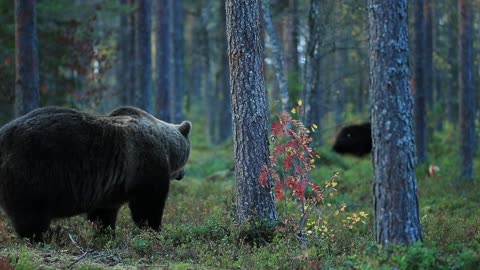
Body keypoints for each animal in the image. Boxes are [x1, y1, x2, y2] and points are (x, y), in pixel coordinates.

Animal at [0, 105, 191, 240]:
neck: (166, 147)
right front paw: (155, 230)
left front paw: (106, 234)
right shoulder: (144, 162)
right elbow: (148, 204)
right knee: (31, 213)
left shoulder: (110, 185)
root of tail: (3, 134)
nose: (182, 175)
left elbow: (103, 213)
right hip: (35, 169)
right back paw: (40, 237)